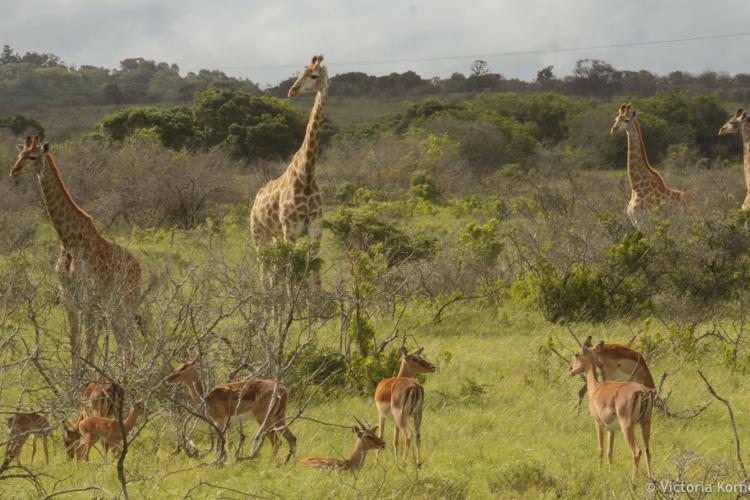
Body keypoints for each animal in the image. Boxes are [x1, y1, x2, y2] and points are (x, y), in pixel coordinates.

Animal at [10, 137, 142, 373]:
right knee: (125, 341)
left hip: (126, 301)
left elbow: (89, 344)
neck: (68, 241)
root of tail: (139, 267)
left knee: (130, 340)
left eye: (33, 157)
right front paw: (75, 380)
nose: (13, 170)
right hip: (114, 307)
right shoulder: (68, 300)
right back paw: (127, 375)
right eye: (19, 155)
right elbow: (74, 344)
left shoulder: (89, 299)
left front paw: (89, 378)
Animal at [250, 55, 328, 287]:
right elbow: (291, 277)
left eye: (314, 75)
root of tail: (255, 200)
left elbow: (314, 278)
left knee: (272, 273)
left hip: (274, 236)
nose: (292, 90)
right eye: (300, 73)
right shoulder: (290, 229)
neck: (307, 174)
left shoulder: (315, 229)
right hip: (259, 234)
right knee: (263, 274)